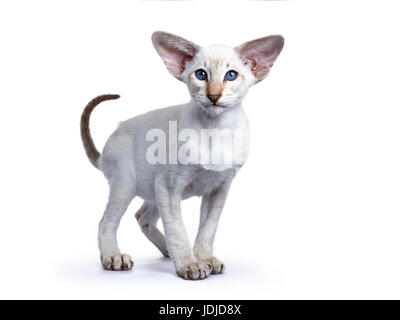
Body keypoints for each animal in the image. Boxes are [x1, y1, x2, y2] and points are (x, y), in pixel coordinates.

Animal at [79, 30, 282, 280]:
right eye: (201, 75)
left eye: (231, 75)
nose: (214, 95)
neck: (216, 130)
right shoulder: (168, 186)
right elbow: (177, 229)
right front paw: (189, 264)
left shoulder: (219, 189)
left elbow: (207, 229)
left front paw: (204, 259)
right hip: (126, 185)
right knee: (106, 222)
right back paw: (114, 257)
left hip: (151, 188)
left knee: (142, 216)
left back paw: (166, 250)